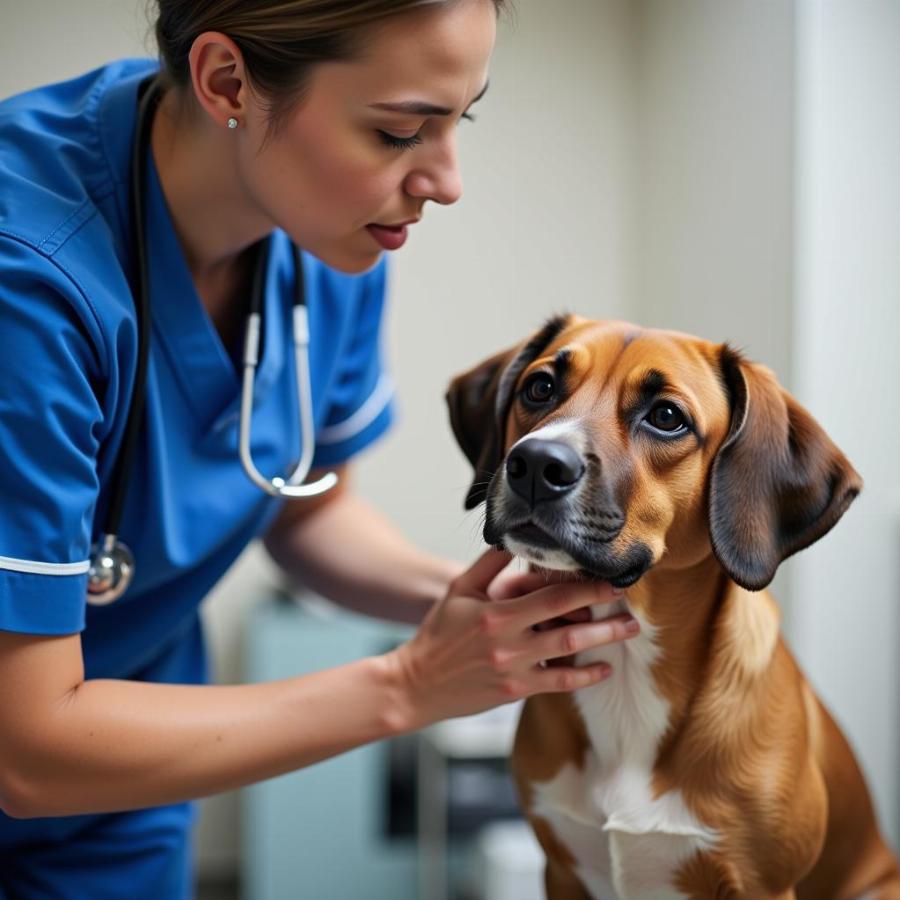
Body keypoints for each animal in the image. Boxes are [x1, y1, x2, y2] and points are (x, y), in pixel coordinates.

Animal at [446, 314, 896, 892]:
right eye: (540, 386)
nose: (536, 462)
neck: (628, 670)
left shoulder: (763, 886)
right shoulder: (562, 871)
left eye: (666, 417)